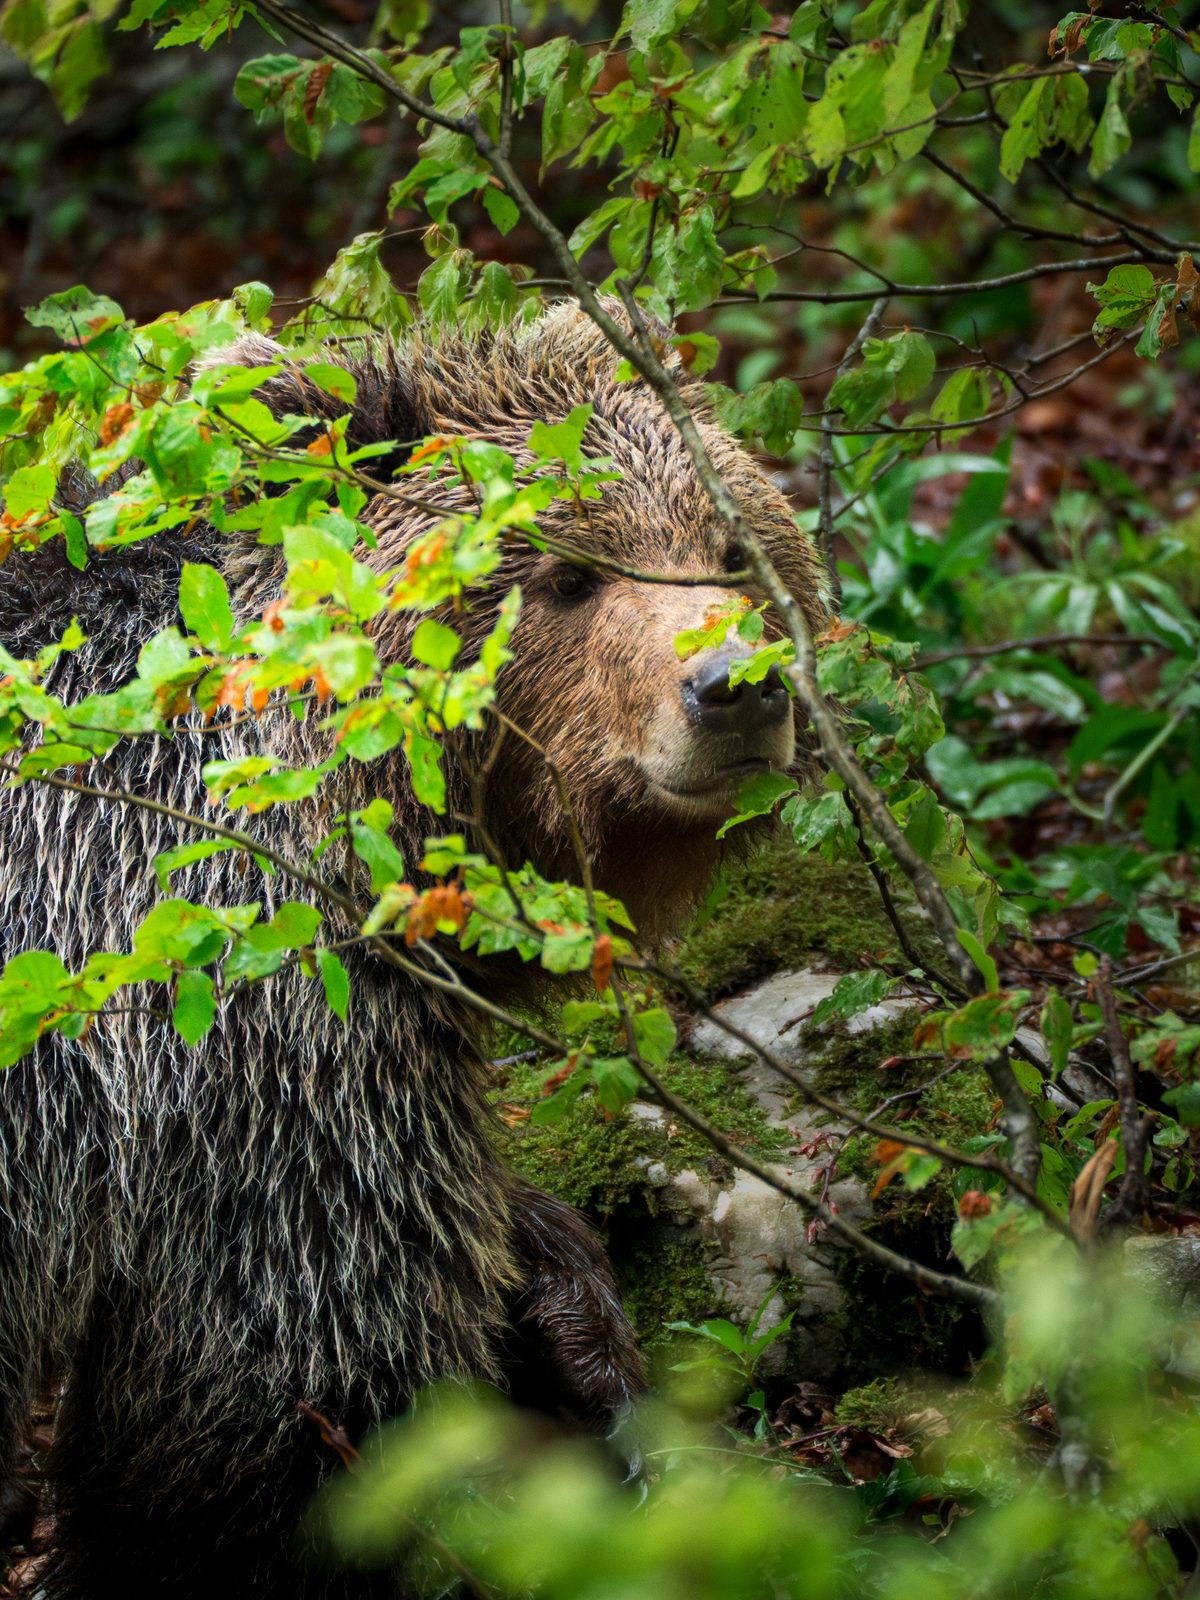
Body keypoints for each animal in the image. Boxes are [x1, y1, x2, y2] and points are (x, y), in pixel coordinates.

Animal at [0, 300, 828, 1598]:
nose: (733, 685)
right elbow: (303, 1359)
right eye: (566, 574)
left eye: (729, 548)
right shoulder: (251, 1017)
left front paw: (576, 1320)